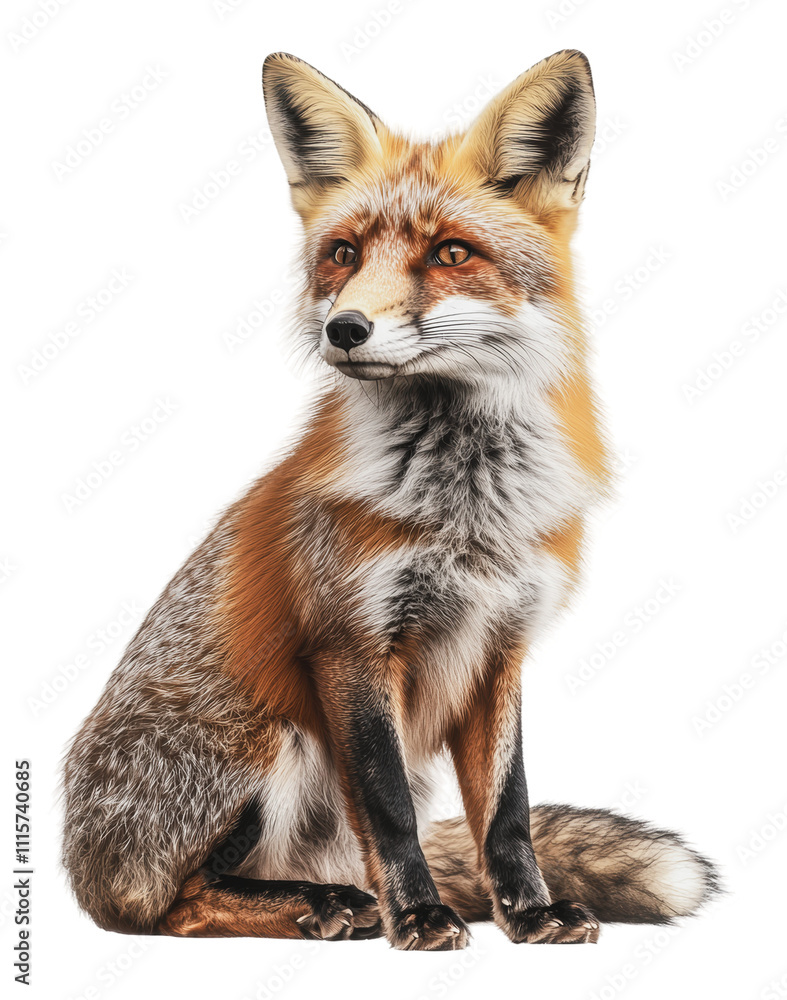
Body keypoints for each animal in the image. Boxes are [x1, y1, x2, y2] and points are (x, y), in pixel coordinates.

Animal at [62, 49, 718, 950]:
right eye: (342, 252)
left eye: (449, 252)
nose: (343, 329)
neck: (467, 512)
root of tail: (78, 867)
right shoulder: (350, 644)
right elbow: (389, 806)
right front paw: (420, 916)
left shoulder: (501, 649)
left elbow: (506, 812)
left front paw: (529, 913)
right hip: (269, 740)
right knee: (175, 905)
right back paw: (328, 906)